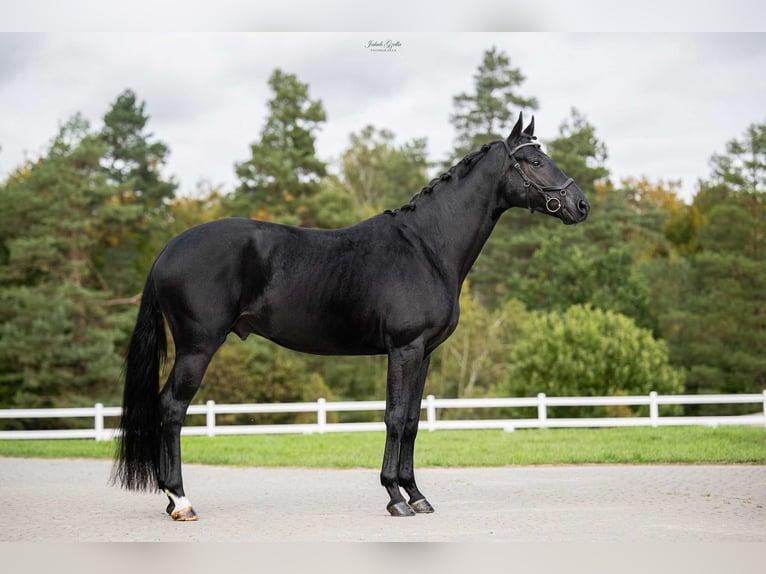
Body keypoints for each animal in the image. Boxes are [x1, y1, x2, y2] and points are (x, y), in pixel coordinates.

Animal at [114, 113, 592, 520]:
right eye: (534, 160)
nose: (581, 205)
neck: (427, 246)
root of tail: (168, 250)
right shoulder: (404, 349)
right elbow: (394, 417)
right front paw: (395, 497)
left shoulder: (425, 354)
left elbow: (412, 421)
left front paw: (417, 495)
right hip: (197, 348)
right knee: (172, 408)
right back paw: (180, 500)